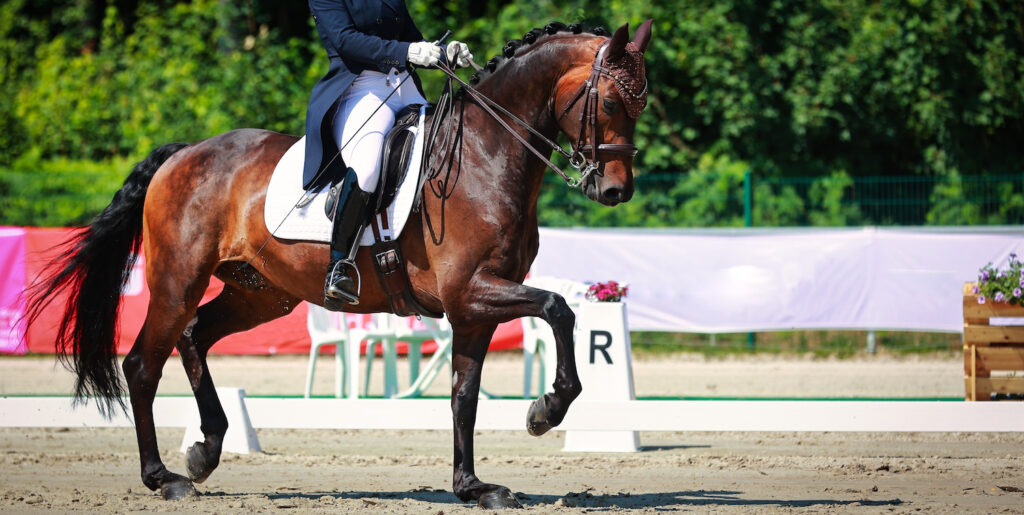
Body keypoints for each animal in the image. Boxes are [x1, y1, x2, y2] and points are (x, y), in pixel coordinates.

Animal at [25, 20, 653, 509]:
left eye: (641, 105)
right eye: (611, 102)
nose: (616, 191)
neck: (484, 157)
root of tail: (182, 153)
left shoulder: (473, 310)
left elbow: (464, 394)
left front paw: (473, 486)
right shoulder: (471, 291)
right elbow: (559, 308)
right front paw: (545, 411)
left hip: (261, 293)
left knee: (195, 336)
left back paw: (207, 449)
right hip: (178, 282)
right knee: (142, 365)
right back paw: (164, 478)